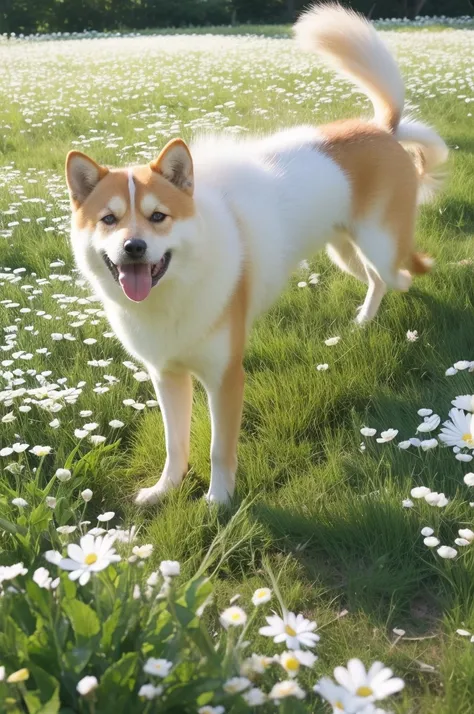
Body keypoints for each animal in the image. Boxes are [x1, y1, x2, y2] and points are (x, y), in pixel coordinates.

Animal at [65, 5, 448, 506]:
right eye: (109, 220)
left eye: (158, 216)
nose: (134, 248)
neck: (175, 290)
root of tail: (382, 129)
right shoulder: (167, 375)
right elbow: (174, 443)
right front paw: (164, 490)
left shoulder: (226, 377)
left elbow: (218, 449)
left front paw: (218, 502)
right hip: (344, 249)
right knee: (376, 279)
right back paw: (364, 320)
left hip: (380, 244)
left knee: (397, 272)